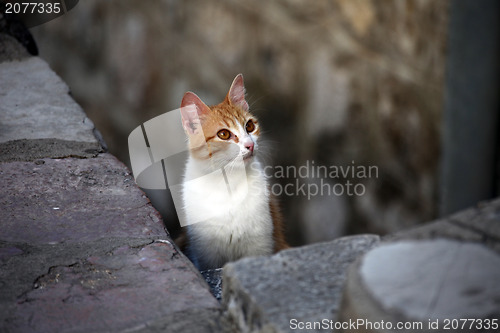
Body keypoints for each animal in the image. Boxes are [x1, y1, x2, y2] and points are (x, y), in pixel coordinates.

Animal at [177, 73, 290, 270]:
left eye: (249, 126)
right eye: (224, 134)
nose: (250, 144)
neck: (228, 181)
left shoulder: (260, 244)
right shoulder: (206, 252)